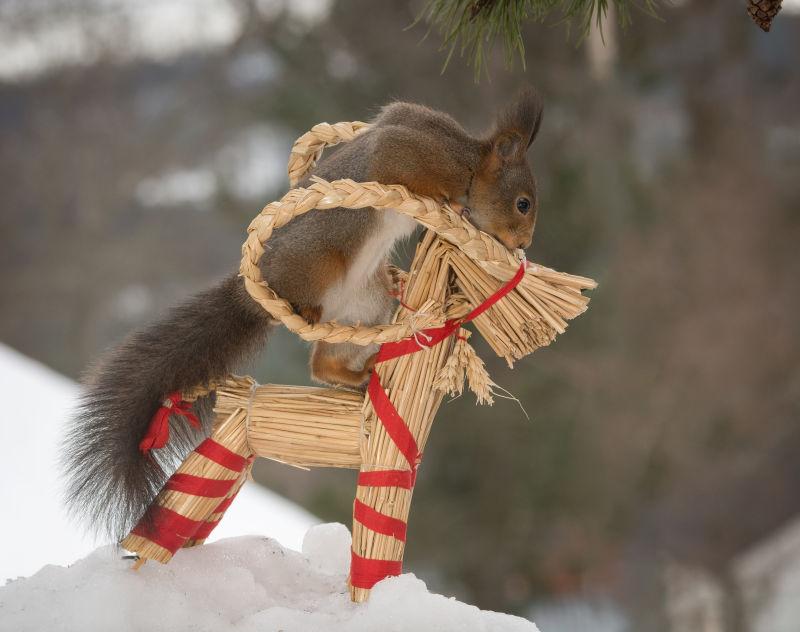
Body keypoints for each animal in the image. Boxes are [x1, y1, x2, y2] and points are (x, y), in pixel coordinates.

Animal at [64, 86, 544, 540]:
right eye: (523, 203)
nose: (523, 245)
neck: (469, 162)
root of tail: (251, 293)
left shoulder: (408, 115)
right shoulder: (407, 151)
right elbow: (400, 164)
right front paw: (454, 206)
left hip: (367, 304)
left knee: (324, 364)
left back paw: (359, 374)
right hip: (317, 261)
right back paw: (311, 314)